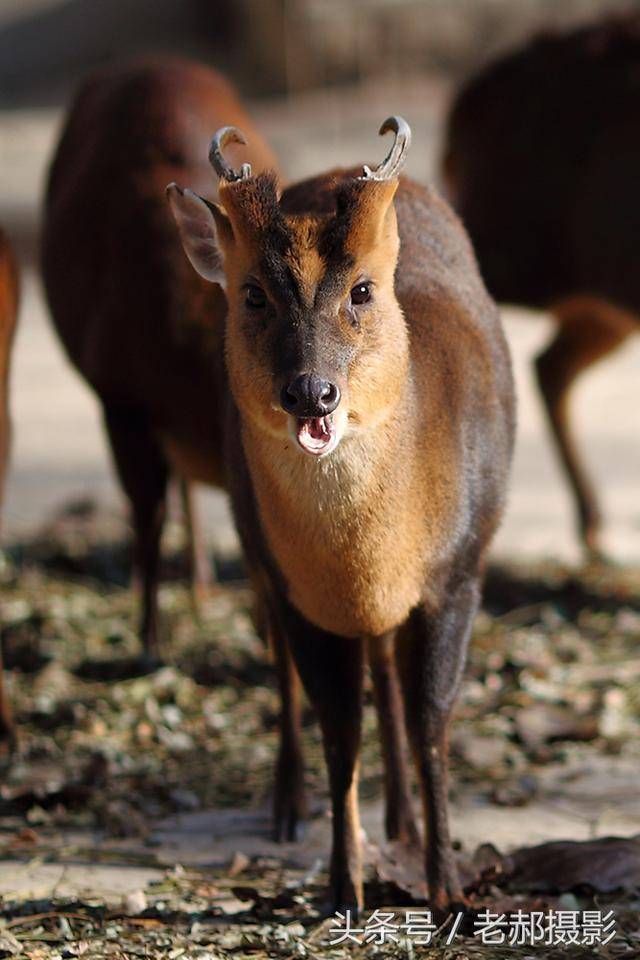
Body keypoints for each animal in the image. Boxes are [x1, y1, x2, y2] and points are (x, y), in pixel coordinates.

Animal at [169, 118, 516, 908]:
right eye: (252, 295)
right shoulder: (300, 589)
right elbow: (337, 728)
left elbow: (431, 722)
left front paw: (448, 888)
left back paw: (405, 823)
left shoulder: (459, 571)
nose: (311, 391)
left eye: (362, 290)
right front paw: (342, 886)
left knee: (387, 673)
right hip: (256, 549)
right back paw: (289, 807)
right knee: (288, 669)